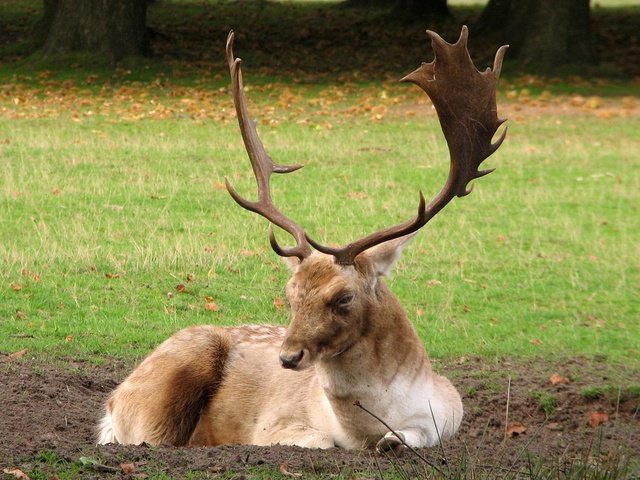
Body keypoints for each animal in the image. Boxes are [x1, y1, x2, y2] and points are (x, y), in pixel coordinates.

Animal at [97, 26, 508, 452]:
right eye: (289, 294)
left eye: (343, 297)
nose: (288, 357)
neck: (363, 430)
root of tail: (110, 405)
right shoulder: (273, 425)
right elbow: (321, 441)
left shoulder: (448, 414)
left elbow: (409, 438)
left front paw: (393, 440)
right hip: (166, 385)